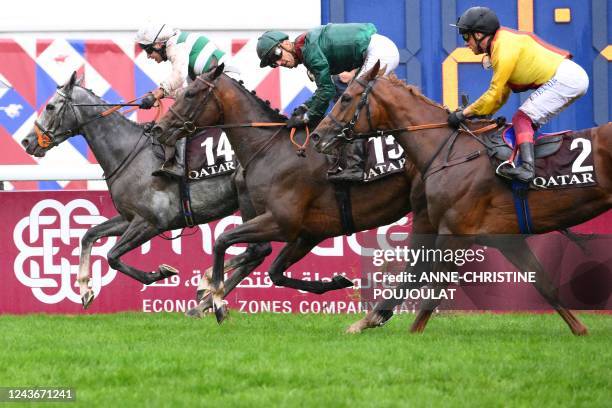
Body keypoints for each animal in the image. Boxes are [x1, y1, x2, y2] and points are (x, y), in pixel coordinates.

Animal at [21, 72, 272, 310]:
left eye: (50, 106)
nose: (27, 141)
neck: (128, 153)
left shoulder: (151, 222)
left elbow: (112, 256)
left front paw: (160, 272)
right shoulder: (130, 218)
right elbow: (89, 234)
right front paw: (84, 289)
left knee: (258, 249)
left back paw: (206, 287)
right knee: (256, 253)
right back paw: (204, 303)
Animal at [316, 61, 612, 334]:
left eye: (345, 97)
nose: (318, 135)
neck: (449, 150)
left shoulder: (454, 234)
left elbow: (432, 290)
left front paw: (409, 334)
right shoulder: (508, 240)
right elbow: (544, 283)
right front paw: (580, 330)